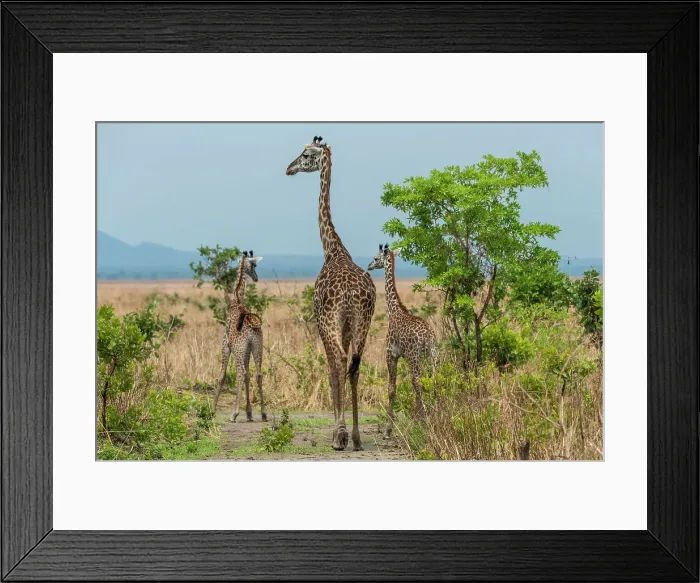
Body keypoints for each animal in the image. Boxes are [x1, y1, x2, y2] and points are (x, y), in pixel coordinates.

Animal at [211, 250, 266, 423]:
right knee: (257, 374)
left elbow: (221, 375)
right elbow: (249, 375)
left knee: (241, 373)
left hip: (238, 349)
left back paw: (234, 414)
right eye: (254, 265)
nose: (256, 278)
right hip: (257, 347)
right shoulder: (248, 349)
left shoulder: (226, 344)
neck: (237, 300)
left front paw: (212, 410)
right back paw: (264, 413)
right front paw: (249, 412)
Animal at [286, 137, 377, 451]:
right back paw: (358, 437)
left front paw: (338, 433)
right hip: (363, 321)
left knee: (339, 361)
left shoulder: (320, 322)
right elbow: (348, 368)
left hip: (331, 321)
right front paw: (349, 432)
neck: (333, 249)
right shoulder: (349, 327)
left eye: (305, 155)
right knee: (356, 364)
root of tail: (350, 293)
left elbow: (331, 369)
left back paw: (342, 436)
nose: (289, 168)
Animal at [368, 244, 438, 437]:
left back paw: (419, 421)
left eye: (376, 258)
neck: (394, 310)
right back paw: (436, 416)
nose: (369, 266)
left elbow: (391, 389)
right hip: (432, 355)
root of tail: (428, 337)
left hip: (414, 357)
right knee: (433, 381)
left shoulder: (391, 354)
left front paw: (388, 430)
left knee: (417, 382)